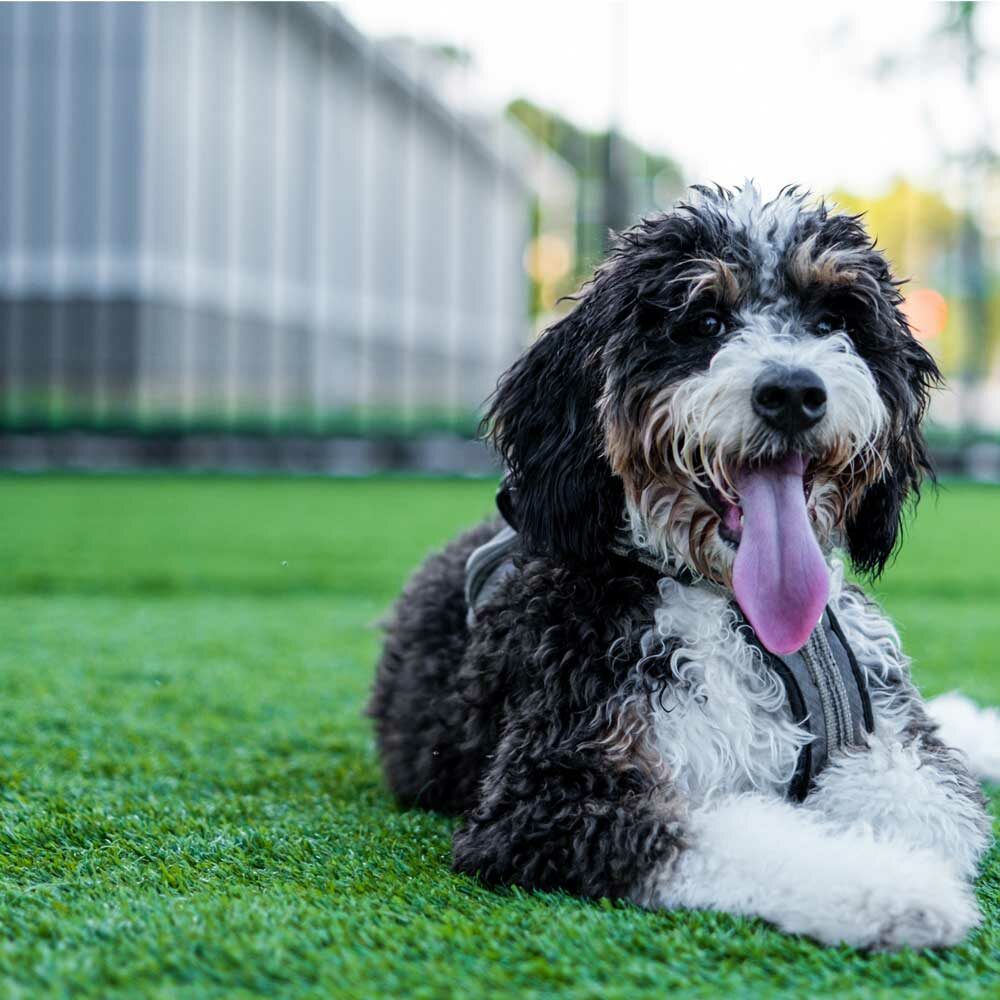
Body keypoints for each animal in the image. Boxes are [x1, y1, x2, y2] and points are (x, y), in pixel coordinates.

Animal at [372, 186, 996, 952]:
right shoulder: (552, 792)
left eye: (832, 321)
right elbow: (732, 828)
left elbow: (934, 807)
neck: (740, 615)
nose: (794, 392)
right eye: (703, 320)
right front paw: (900, 890)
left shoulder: (898, 743)